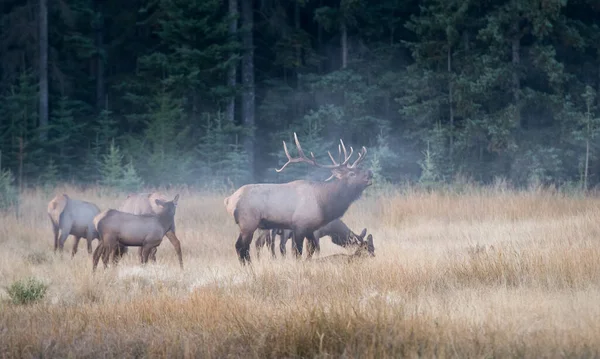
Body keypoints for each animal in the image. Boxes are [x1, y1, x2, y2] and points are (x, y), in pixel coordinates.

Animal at [224, 134, 370, 266]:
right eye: (352, 173)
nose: (370, 174)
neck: (323, 203)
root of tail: (229, 200)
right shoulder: (300, 225)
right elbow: (298, 252)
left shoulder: (311, 228)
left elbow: (310, 250)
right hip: (248, 222)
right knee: (241, 246)